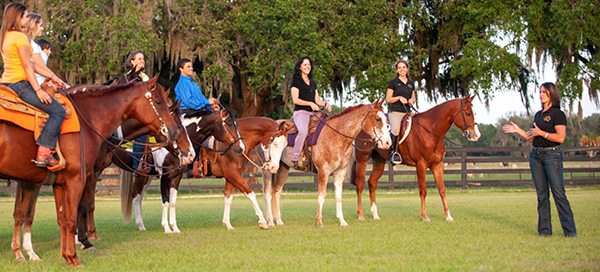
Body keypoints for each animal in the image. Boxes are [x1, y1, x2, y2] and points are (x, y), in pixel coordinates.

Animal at [3, 76, 179, 266]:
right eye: (159, 102)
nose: (174, 132)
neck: (87, 119)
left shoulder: (59, 181)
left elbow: (57, 216)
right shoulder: (77, 178)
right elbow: (72, 213)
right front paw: (77, 250)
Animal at [264, 100, 392, 227]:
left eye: (386, 121)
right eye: (378, 119)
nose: (387, 143)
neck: (336, 136)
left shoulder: (340, 172)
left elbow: (338, 197)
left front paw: (342, 221)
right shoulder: (323, 171)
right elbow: (321, 195)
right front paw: (319, 221)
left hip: (283, 168)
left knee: (276, 190)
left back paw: (278, 220)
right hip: (269, 168)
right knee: (269, 192)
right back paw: (271, 221)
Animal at [350, 95, 480, 221]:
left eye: (475, 113)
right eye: (468, 113)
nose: (476, 135)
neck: (430, 130)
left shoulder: (437, 165)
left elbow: (442, 190)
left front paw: (448, 216)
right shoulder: (421, 164)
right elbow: (423, 191)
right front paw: (424, 216)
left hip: (379, 160)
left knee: (372, 183)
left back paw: (375, 215)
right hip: (362, 159)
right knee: (360, 185)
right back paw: (360, 215)